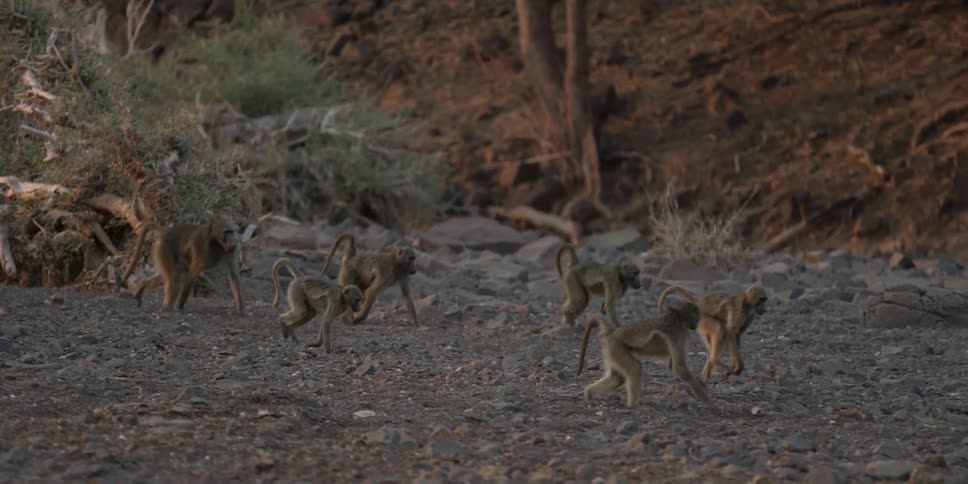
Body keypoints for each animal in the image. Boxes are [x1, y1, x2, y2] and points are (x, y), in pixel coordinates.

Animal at [576, 302, 709, 408]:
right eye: (696, 317)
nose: (696, 325)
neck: (679, 317)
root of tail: (613, 332)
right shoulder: (677, 334)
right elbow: (679, 367)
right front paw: (706, 399)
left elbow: (673, 365)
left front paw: (701, 384)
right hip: (616, 347)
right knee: (635, 369)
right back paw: (633, 406)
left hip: (610, 350)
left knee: (617, 378)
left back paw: (589, 393)